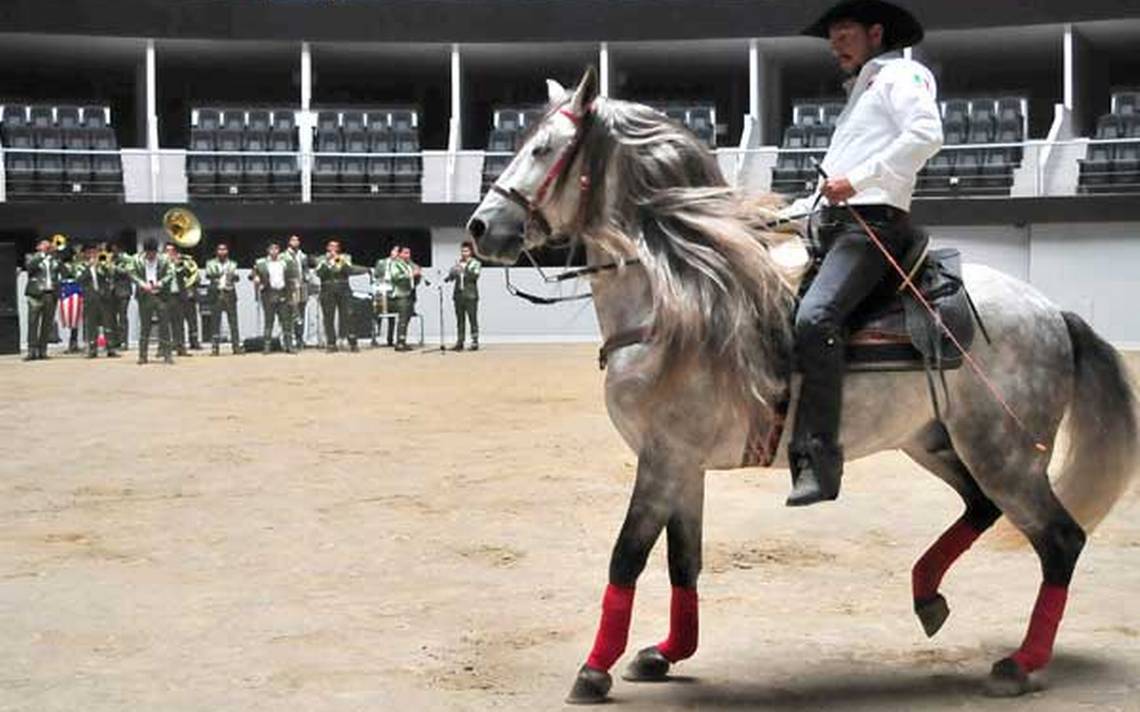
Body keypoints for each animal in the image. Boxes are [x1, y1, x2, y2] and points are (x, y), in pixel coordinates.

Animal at [465, 69, 1140, 701]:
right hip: (935, 441)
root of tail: (1051, 312)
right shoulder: (683, 466)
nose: (478, 228)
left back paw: (1019, 663)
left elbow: (628, 555)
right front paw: (665, 652)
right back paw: (927, 596)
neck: (676, 299)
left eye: (544, 149)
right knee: (981, 508)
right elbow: (684, 558)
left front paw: (594, 668)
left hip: (1004, 454)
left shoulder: (664, 459)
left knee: (1060, 539)